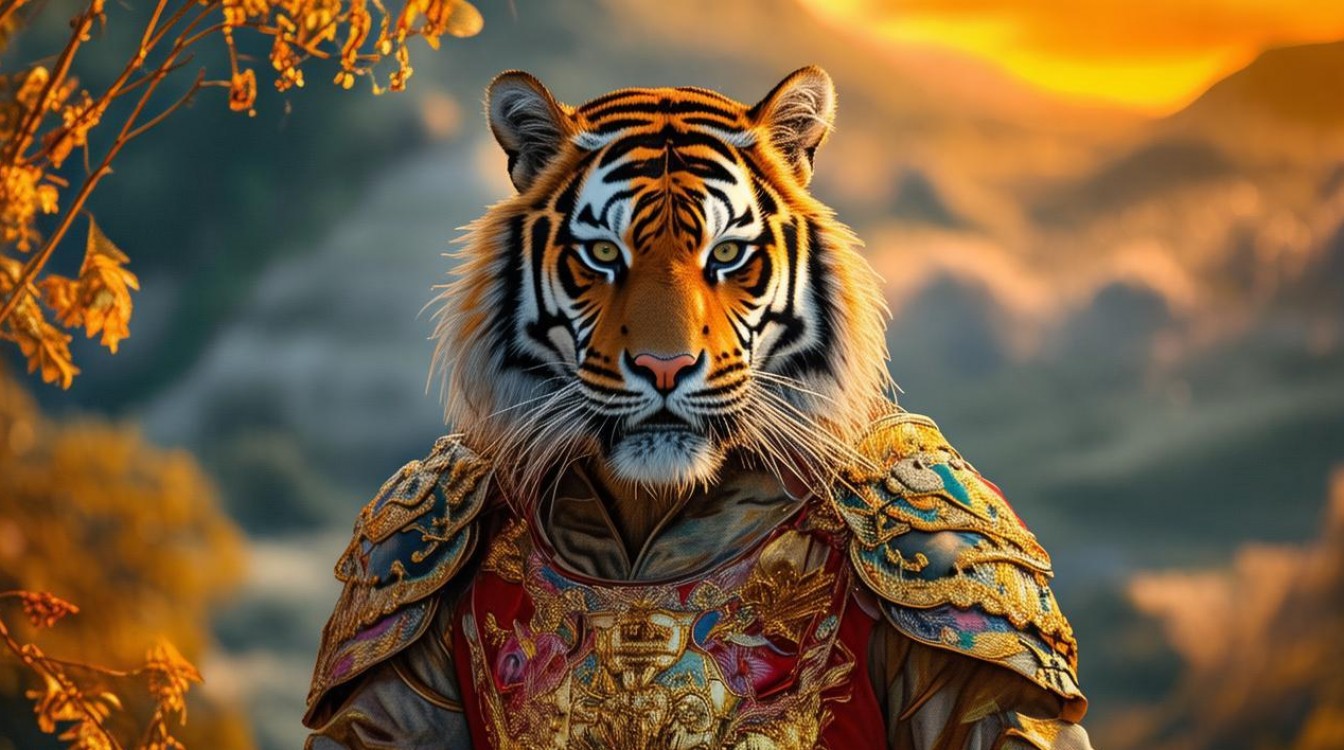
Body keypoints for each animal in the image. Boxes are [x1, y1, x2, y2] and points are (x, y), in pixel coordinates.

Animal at [303, 67, 1094, 750]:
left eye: (728, 254)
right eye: (602, 255)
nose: (665, 366)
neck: (649, 517)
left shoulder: (962, 613)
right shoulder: (394, 588)